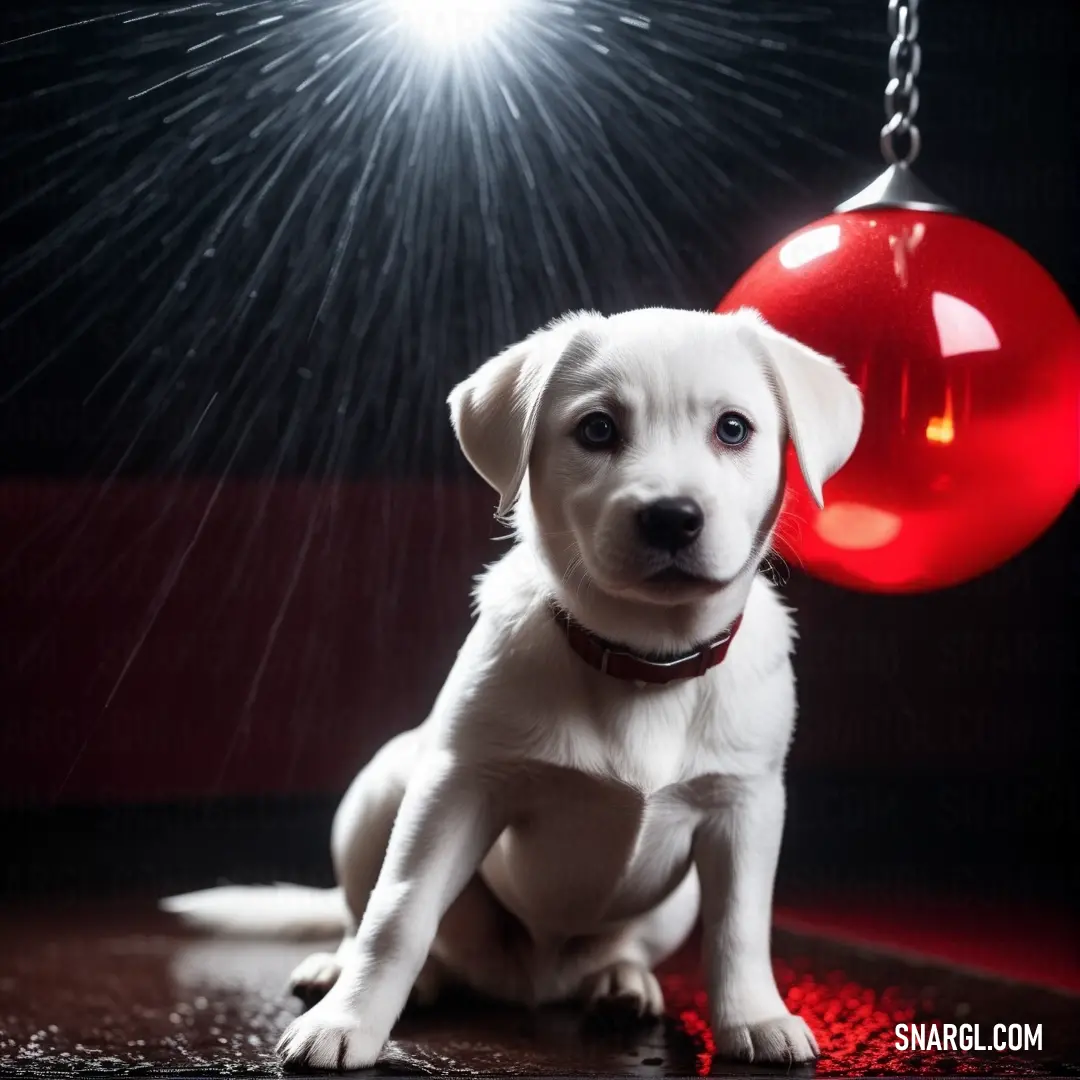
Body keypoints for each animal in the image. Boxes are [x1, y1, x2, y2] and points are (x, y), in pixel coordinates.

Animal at [164, 308, 864, 1067]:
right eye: (597, 429)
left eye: (733, 429)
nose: (671, 516)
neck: (643, 659)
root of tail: (531, 982)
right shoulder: (459, 788)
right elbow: (398, 913)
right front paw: (346, 1022)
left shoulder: (746, 804)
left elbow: (739, 926)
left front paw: (755, 1017)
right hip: (381, 790)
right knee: (368, 913)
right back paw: (353, 972)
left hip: (665, 904)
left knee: (622, 947)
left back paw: (622, 983)